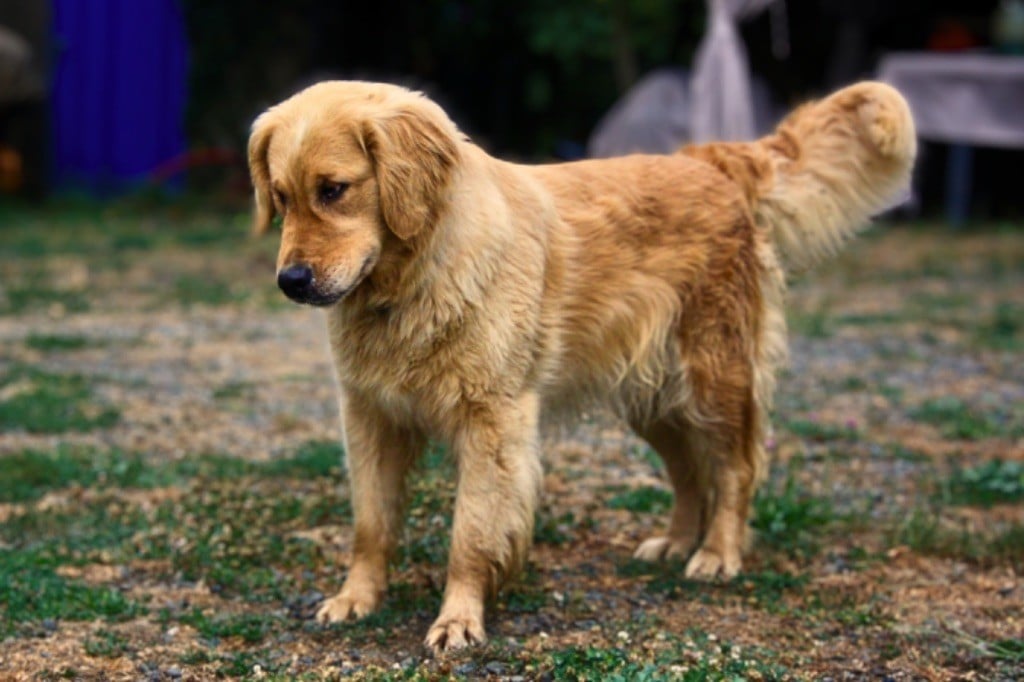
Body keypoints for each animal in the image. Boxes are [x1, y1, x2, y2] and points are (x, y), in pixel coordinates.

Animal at [245, 78, 913, 647]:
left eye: (334, 189)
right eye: (280, 197)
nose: (290, 281)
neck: (409, 282)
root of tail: (706, 159)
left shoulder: (493, 424)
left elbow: (470, 533)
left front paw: (458, 618)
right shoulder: (369, 417)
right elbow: (371, 523)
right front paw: (356, 598)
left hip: (714, 381)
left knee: (734, 469)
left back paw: (718, 553)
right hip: (655, 401)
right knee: (689, 473)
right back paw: (675, 542)